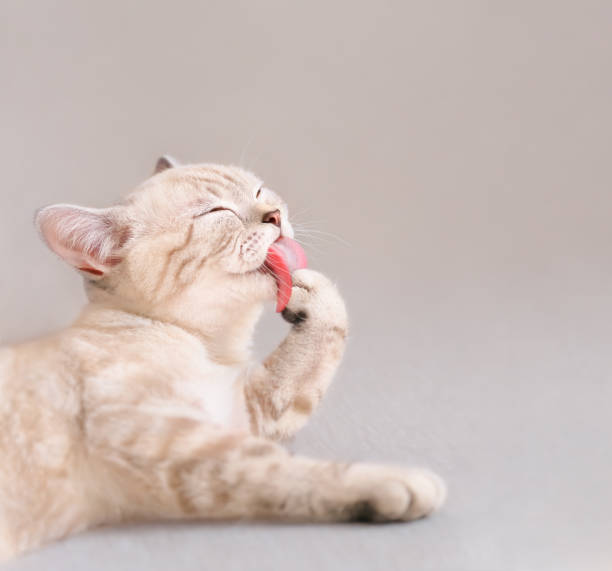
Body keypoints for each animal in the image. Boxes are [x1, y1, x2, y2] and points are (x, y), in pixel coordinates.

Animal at [0, 159, 444, 560]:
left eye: (259, 191)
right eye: (216, 213)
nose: (274, 215)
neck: (210, 348)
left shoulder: (243, 412)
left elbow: (321, 345)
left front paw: (310, 287)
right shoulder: (173, 441)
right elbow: (285, 470)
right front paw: (396, 482)